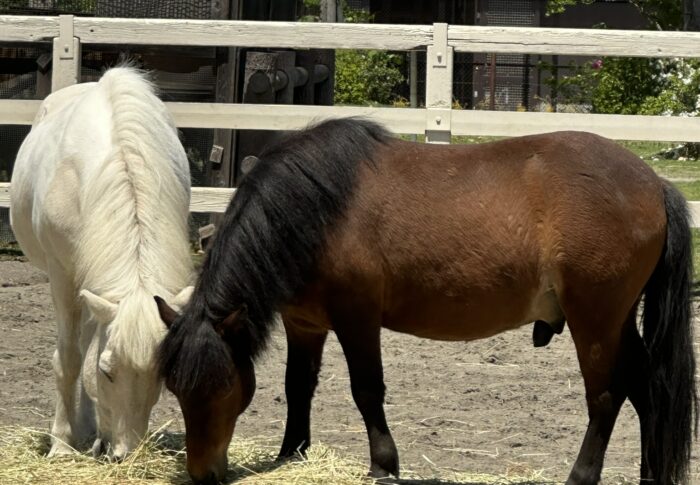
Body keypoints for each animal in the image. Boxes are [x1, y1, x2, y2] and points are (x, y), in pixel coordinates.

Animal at [10, 67, 196, 458]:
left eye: (162, 376)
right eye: (108, 371)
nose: (126, 454)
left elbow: (85, 354)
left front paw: (94, 434)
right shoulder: (62, 276)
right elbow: (70, 359)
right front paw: (62, 445)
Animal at [156, 118, 696, 484]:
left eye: (224, 387)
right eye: (177, 391)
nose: (202, 474)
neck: (314, 207)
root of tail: (654, 183)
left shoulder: (357, 318)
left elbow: (366, 390)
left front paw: (382, 464)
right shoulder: (304, 323)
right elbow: (297, 387)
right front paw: (292, 454)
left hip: (595, 321)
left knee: (605, 397)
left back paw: (581, 475)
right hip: (618, 321)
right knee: (649, 388)